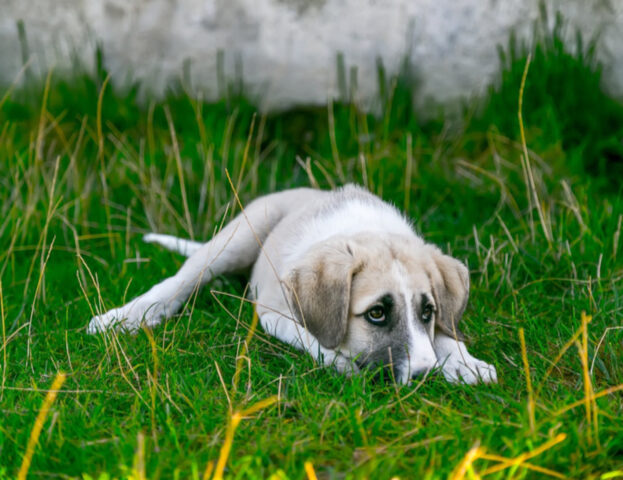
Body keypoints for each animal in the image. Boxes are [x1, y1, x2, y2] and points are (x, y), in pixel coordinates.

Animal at [86, 186, 498, 384]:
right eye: (377, 314)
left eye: (428, 312)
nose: (425, 376)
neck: (365, 230)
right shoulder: (273, 312)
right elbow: (315, 339)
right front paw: (341, 362)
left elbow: (444, 333)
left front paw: (465, 362)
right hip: (239, 235)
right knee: (181, 280)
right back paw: (125, 317)